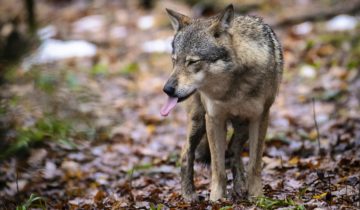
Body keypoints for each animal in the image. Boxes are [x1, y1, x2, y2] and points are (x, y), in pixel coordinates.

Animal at [161, 4, 284, 202]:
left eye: (192, 62)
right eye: (174, 61)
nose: (167, 89)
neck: (232, 88)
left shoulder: (260, 118)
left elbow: (254, 164)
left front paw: (256, 196)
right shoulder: (214, 119)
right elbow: (217, 168)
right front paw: (217, 199)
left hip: (242, 126)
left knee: (233, 151)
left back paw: (240, 187)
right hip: (198, 122)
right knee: (186, 152)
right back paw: (189, 195)